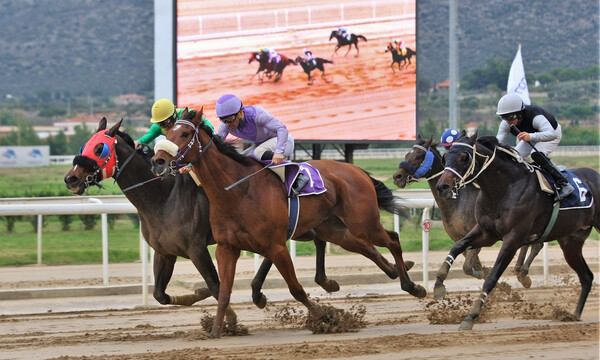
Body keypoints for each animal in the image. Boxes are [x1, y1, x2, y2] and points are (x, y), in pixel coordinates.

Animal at [151, 109, 426, 338]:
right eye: (167, 132)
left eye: (185, 133)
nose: (158, 161)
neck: (237, 191)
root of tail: (356, 169)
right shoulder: (226, 248)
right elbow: (223, 291)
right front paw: (217, 331)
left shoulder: (276, 246)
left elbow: (296, 289)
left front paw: (325, 316)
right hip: (335, 228)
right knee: (366, 245)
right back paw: (399, 274)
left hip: (363, 221)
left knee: (393, 239)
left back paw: (412, 285)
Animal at [394, 134, 544, 288]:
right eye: (407, 155)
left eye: (419, 156)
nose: (397, 177)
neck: (458, 201)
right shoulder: (459, 237)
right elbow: (469, 261)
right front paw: (488, 274)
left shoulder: (477, 230)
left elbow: (468, 266)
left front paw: (491, 277)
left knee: (536, 244)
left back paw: (523, 273)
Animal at [434, 134, 596, 330]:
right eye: (445, 157)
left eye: (464, 157)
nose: (442, 186)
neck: (504, 188)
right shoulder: (486, 232)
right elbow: (457, 246)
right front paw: (438, 284)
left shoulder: (513, 239)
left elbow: (492, 277)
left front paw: (470, 317)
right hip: (571, 242)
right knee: (586, 276)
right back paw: (574, 315)